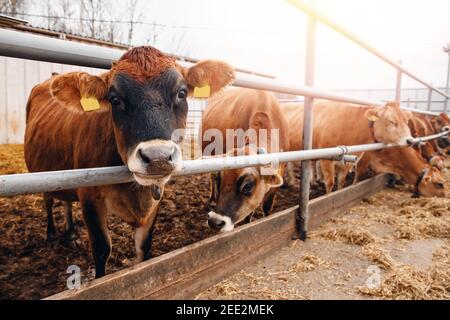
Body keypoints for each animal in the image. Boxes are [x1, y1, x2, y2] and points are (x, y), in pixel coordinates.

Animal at [25, 45, 236, 278]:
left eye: (181, 93)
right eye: (115, 99)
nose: (158, 157)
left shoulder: (155, 201)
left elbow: (144, 246)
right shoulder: (90, 198)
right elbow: (101, 249)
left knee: (65, 201)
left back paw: (70, 234)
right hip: (42, 173)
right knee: (48, 199)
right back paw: (52, 235)